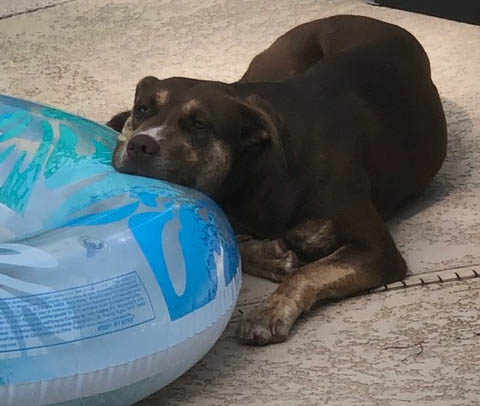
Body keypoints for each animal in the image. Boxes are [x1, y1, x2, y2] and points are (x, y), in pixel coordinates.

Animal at [108, 16, 446, 346]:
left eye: (199, 124)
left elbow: (308, 273)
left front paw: (267, 312)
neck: (254, 174)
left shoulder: (376, 249)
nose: (140, 145)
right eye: (142, 109)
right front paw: (270, 256)